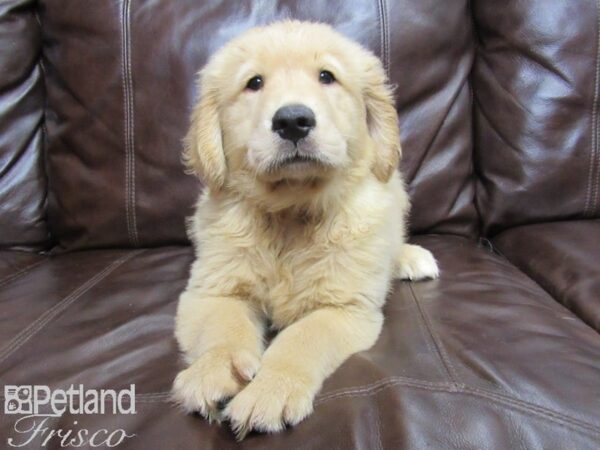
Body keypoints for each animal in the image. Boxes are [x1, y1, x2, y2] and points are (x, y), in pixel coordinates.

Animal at [171, 19, 438, 438]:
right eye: (254, 82)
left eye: (327, 76)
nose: (293, 121)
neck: (290, 214)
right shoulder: (213, 291)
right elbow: (223, 329)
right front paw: (214, 371)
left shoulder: (343, 306)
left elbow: (300, 340)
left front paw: (271, 389)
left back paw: (411, 258)